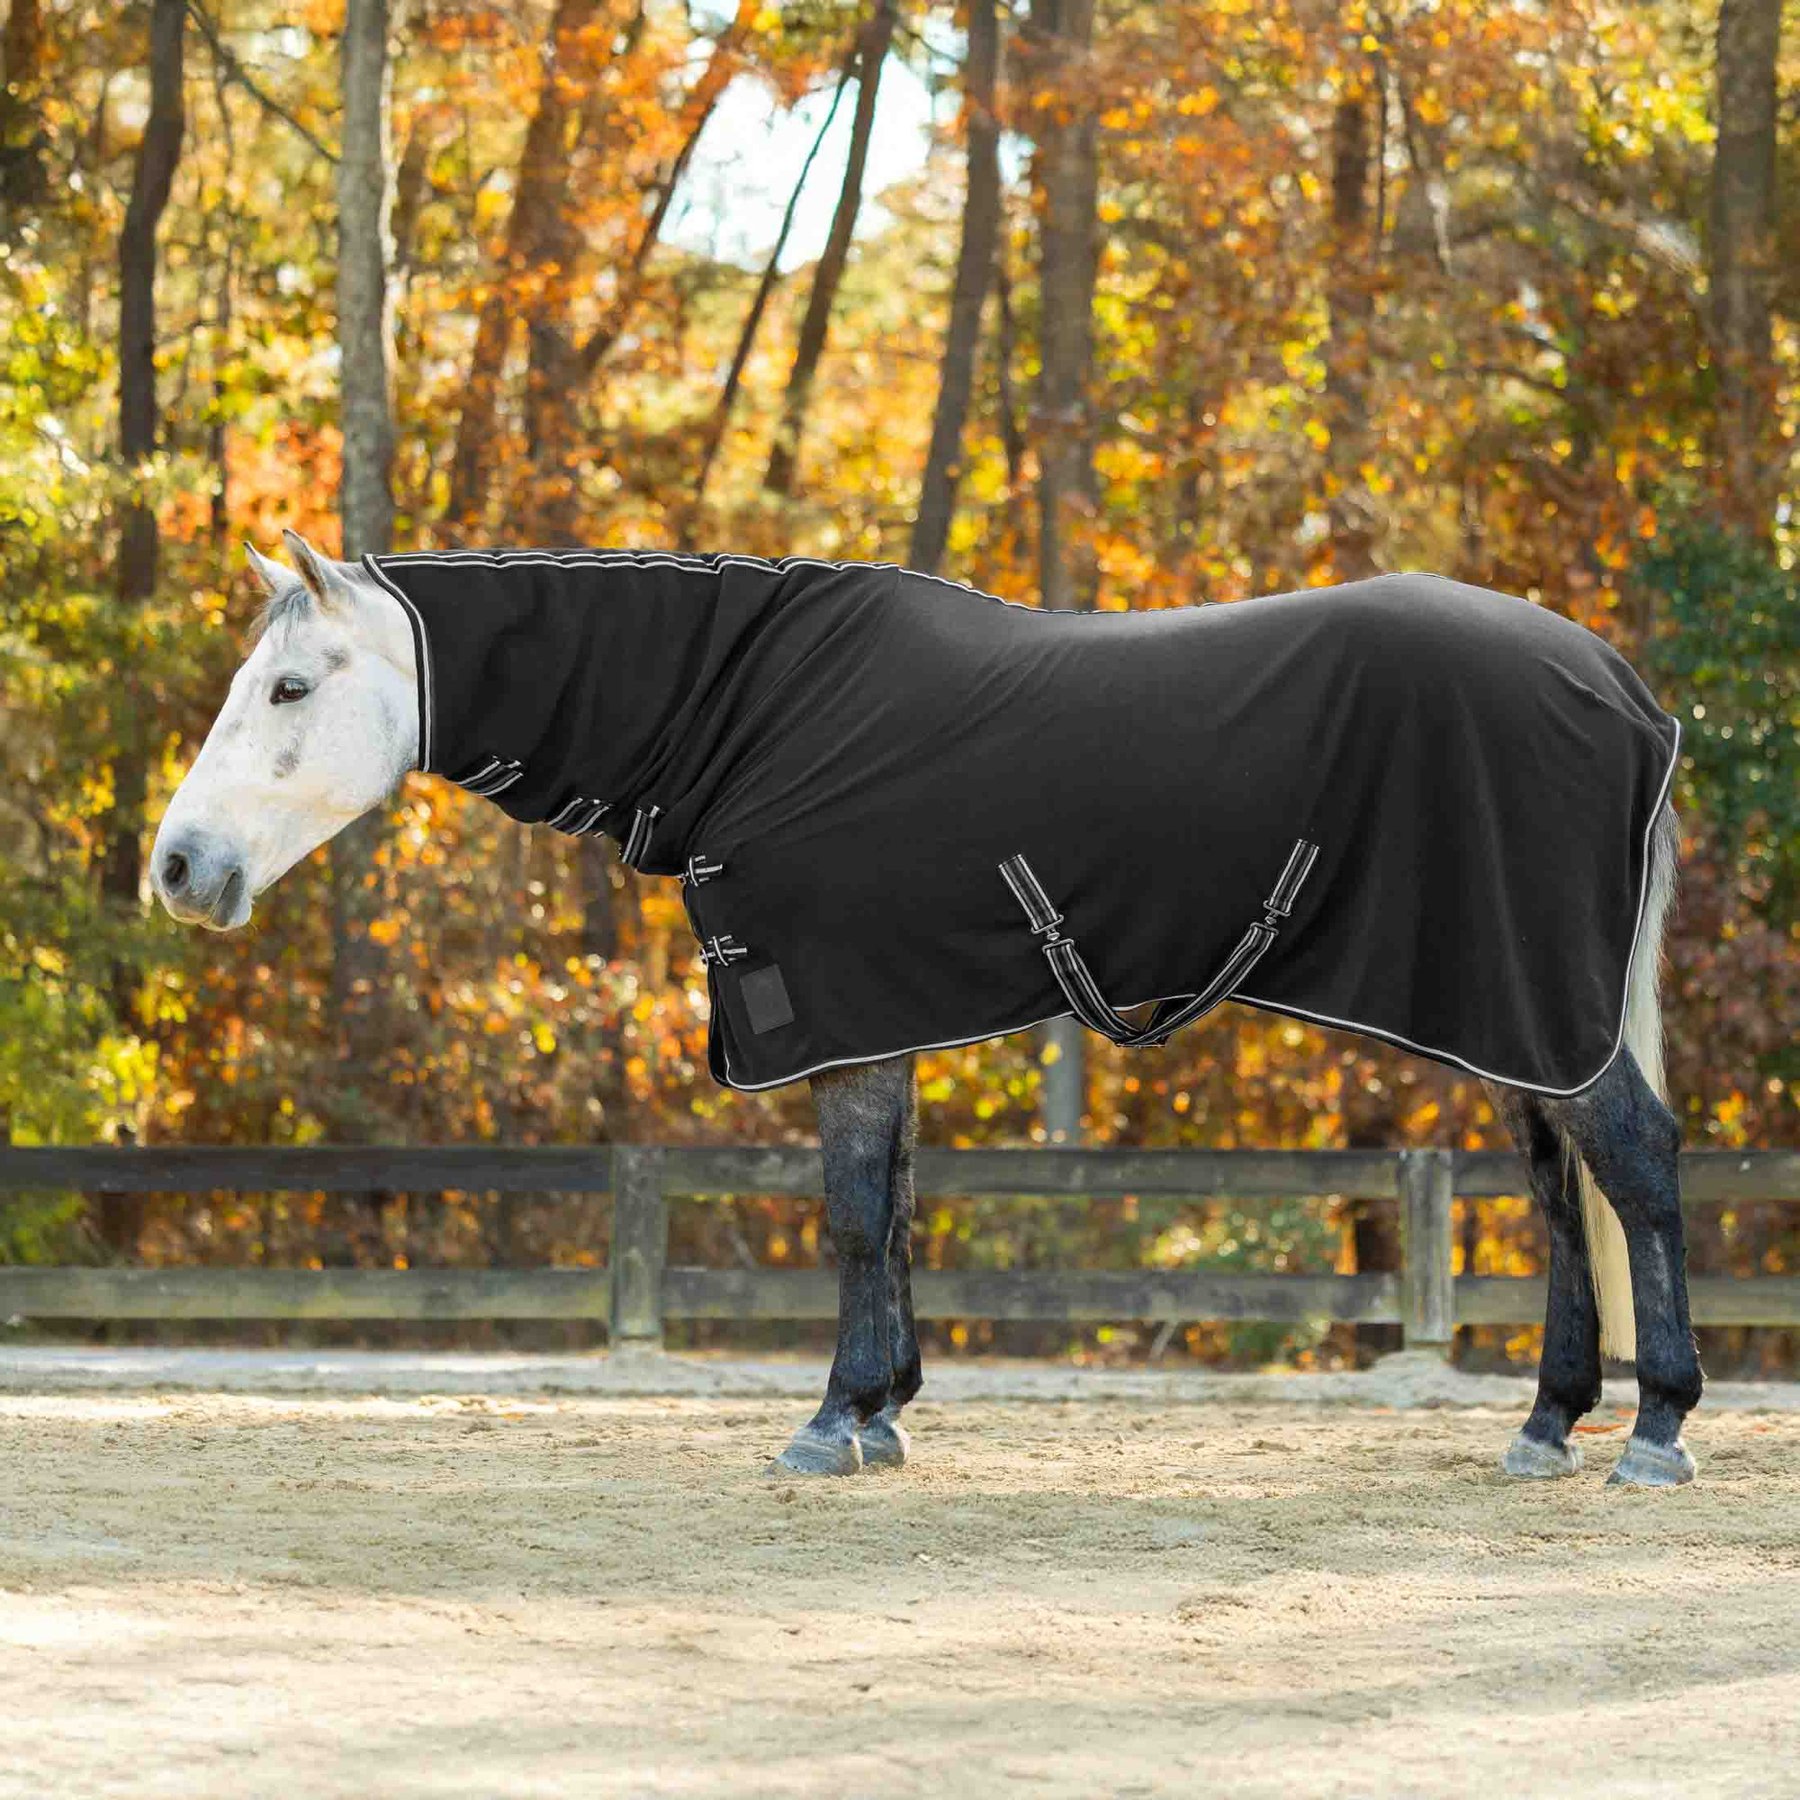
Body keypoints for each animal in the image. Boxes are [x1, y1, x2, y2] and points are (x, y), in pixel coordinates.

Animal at [151, 530, 1701, 1485]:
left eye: (288, 686)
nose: (177, 867)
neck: (752, 713)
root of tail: (1624, 690)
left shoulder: (836, 1013)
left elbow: (849, 1216)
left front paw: (832, 1421)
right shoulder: (882, 1018)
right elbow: (891, 1211)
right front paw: (884, 1410)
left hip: (1532, 1009)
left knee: (1634, 1164)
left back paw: (1658, 1427)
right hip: (1509, 1016)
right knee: (1559, 1196)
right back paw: (1548, 1422)